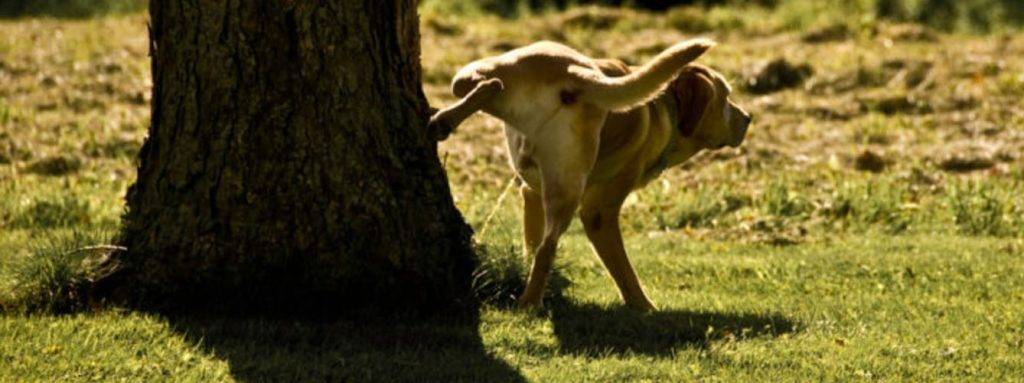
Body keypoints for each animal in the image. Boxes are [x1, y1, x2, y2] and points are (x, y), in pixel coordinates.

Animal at [448, 38, 753, 311]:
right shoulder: (600, 213)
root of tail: (575, 72)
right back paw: (530, 303)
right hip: (569, 188)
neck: (663, 107)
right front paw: (644, 307)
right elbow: (623, 270)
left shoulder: (531, 192)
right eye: (726, 97)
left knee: (474, 87)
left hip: (482, 71)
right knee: (548, 248)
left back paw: (449, 117)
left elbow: (530, 243)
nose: (748, 117)